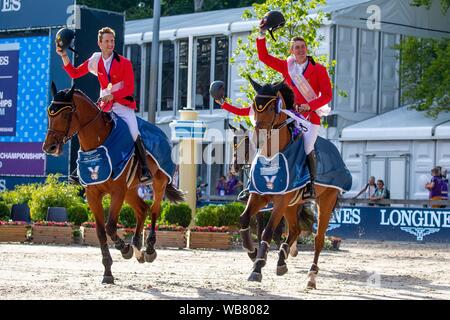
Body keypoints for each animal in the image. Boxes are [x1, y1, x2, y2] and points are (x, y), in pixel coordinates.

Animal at [41, 83, 184, 284]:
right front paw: (108, 271)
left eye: (66, 114)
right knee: (142, 209)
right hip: (130, 189)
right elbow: (101, 231)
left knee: (155, 210)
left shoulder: (117, 192)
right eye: (49, 113)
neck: (97, 143)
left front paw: (124, 249)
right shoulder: (93, 195)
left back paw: (148, 249)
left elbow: (110, 226)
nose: (50, 147)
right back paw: (137, 246)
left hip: (158, 182)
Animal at [239, 78, 342, 290]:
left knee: (318, 239)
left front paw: (257, 268)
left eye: (272, 108)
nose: (259, 139)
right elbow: (244, 219)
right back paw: (282, 260)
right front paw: (252, 253)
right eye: (254, 105)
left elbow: (268, 232)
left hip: (325, 202)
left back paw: (311, 277)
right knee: (295, 229)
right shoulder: (259, 196)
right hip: (292, 204)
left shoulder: (280, 201)